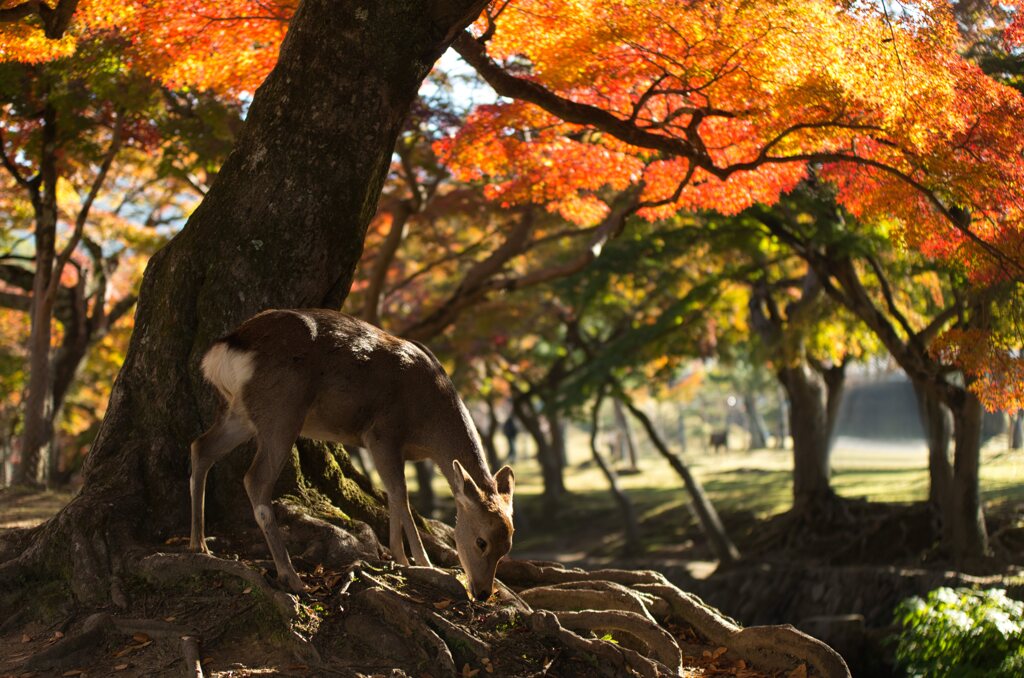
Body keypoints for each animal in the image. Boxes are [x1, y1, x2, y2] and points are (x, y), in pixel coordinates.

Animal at [189, 308, 515, 600]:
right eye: (481, 541)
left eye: (508, 546)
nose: (483, 593)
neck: (427, 425)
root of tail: (224, 349)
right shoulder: (381, 433)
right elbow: (400, 495)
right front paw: (417, 561)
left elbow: (395, 495)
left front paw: (404, 557)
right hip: (281, 409)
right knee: (255, 479)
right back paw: (291, 577)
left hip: (241, 413)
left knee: (201, 447)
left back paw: (199, 544)